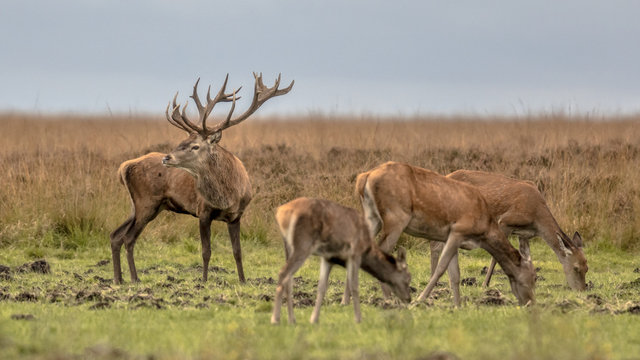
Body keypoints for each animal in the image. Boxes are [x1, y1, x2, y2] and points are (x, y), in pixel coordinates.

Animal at [110, 151, 242, 284]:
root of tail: (123, 169)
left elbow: (237, 250)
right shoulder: (204, 213)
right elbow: (206, 250)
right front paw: (204, 280)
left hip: (142, 209)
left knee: (116, 235)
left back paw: (118, 279)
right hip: (146, 206)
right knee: (128, 238)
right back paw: (134, 278)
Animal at [270, 198, 410, 324]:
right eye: (408, 278)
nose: (408, 298)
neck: (367, 249)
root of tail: (280, 213)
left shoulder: (328, 257)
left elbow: (322, 287)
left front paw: (314, 319)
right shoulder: (355, 253)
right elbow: (354, 286)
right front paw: (358, 319)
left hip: (288, 247)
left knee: (289, 278)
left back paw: (291, 319)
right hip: (303, 243)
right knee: (283, 273)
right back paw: (275, 319)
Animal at [352, 163, 536, 306]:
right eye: (533, 278)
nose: (530, 303)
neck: (484, 229)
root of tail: (364, 177)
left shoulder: (451, 238)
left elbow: (455, 274)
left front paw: (457, 306)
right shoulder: (458, 231)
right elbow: (442, 268)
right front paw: (419, 300)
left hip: (372, 217)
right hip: (396, 218)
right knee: (381, 252)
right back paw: (390, 300)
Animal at [430, 170, 592, 292]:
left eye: (587, 268)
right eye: (576, 268)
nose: (581, 290)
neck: (536, 218)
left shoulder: (524, 234)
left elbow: (527, 256)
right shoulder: (505, 221)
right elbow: (496, 257)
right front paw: (485, 284)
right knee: (435, 244)